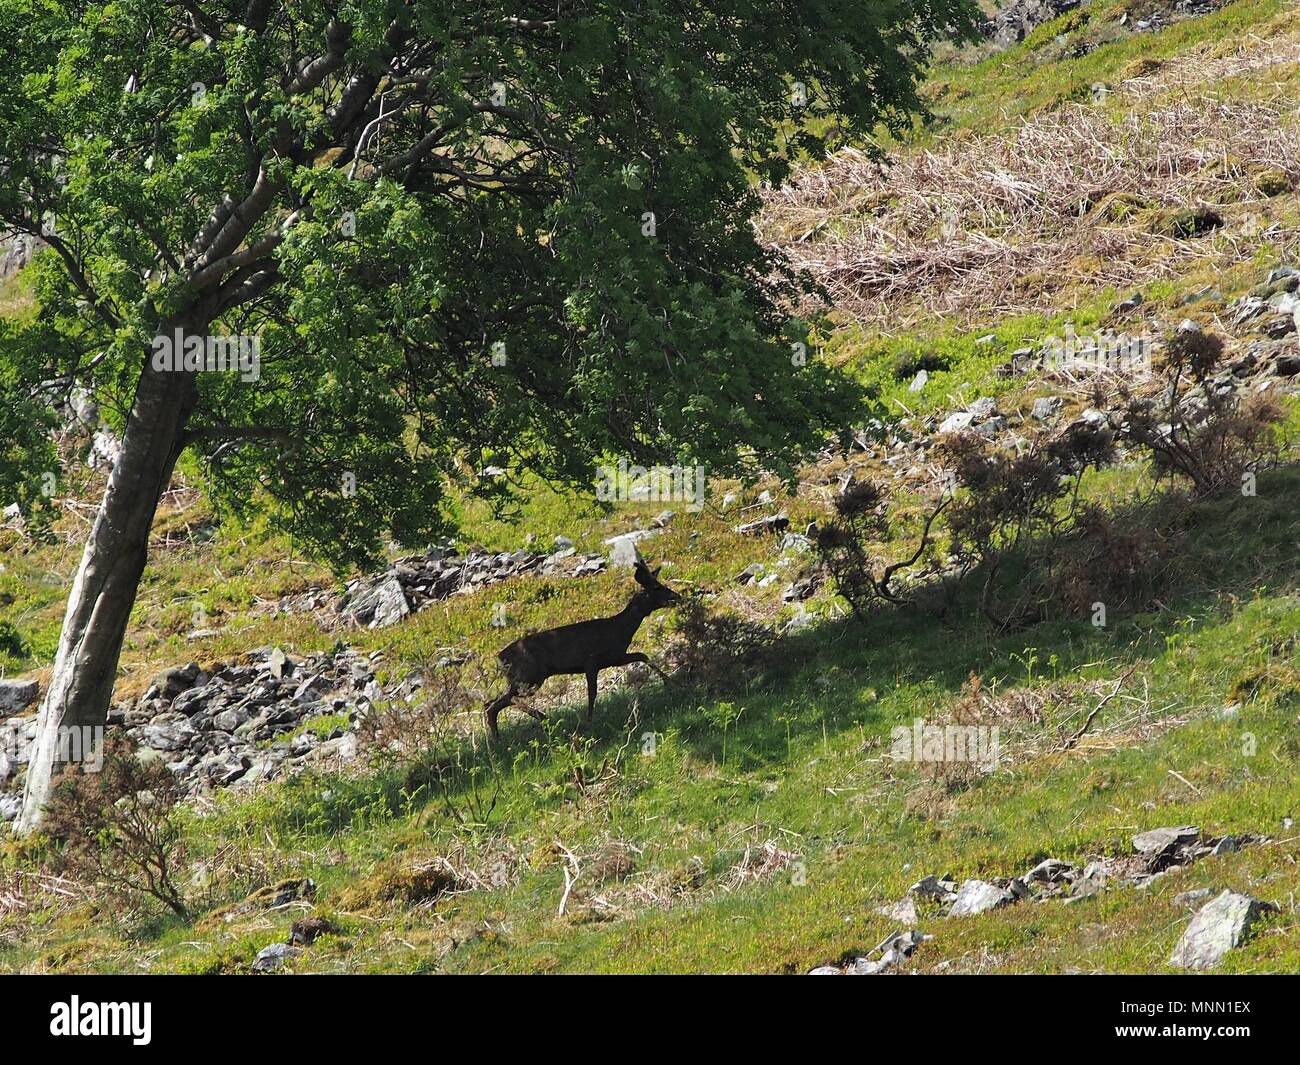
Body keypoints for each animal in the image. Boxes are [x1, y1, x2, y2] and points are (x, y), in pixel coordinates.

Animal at [486, 559, 686, 743]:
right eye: (657, 587)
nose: (677, 596)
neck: (620, 628)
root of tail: (500, 658)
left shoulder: (615, 657)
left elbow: (642, 655)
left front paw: (671, 683)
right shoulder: (591, 661)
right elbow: (593, 692)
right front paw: (589, 720)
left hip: (524, 678)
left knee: (492, 703)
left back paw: (500, 738)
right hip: (530, 676)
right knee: (500, 702)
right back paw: (539, 718)